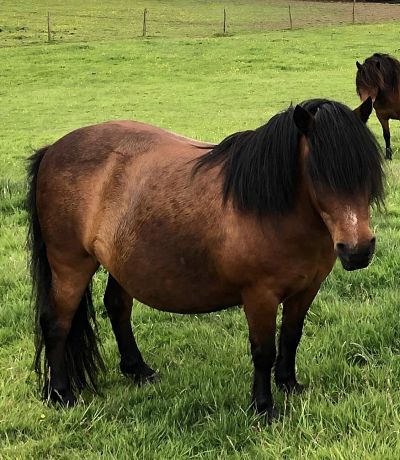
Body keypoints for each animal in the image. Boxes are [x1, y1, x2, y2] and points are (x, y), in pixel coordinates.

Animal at [26, 97, 382, 420]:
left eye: (366, 170)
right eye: (318, 173)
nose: (358, 250)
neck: (272, 208)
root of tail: (53, 150)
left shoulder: (306, 290)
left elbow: (291, 337)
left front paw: (289, 385)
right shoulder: (259, 296)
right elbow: (263, 350)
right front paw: (264, 408)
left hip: (121, 262)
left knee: (116, 307)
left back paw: (138, 370)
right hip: (70, 265)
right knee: (57, 322)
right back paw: (61, 394)